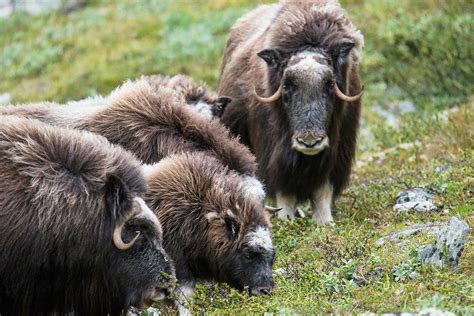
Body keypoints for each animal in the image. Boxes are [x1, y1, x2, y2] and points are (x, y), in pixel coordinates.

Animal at [218, 0, 362, 223]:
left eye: (330, 84)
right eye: (286, 85)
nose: (309, 142)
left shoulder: (337, 154)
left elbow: (323, 190)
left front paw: (325, 222)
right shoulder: (275, 154)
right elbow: (284, 190)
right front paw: (286, 220)